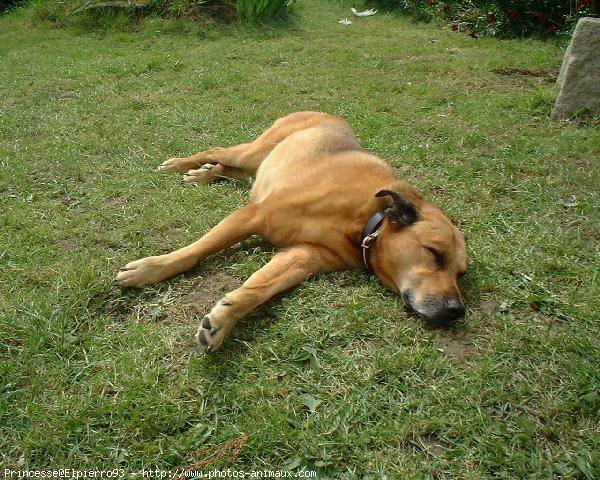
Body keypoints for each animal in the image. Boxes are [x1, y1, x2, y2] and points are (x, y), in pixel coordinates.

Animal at [115, 112, 466, 352]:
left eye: (460, 274)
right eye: (434, 253)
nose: (457, 311)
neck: (364, 221)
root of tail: (326, 112)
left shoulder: (303, 256)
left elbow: (259, 288)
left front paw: (223, 320)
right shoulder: (253, 215)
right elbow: (195, 251)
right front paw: (150, 269)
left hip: (255, 166)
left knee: (230, 171)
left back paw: (205, 175)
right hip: (253, 151)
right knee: (217, 150)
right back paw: (179, 164)